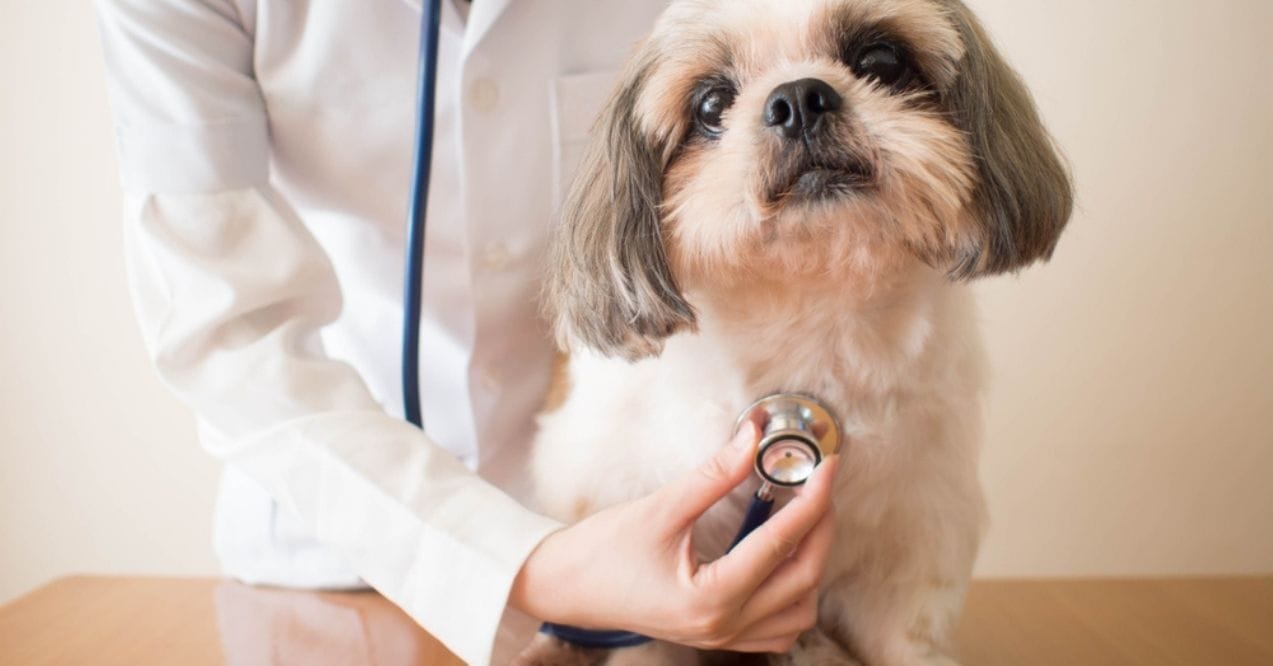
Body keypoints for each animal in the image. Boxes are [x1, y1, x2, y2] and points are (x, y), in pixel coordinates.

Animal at [521, 0, 1069, 662]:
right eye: (711, 104)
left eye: (881, 60)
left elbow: (905, 636)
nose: (800, 98)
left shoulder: (912, 541)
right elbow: (645, 640)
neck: (814, 314)